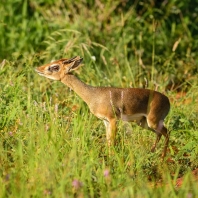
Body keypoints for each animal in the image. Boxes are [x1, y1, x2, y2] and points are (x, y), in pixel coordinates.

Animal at [35, 56, 170, 158]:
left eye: (54, 67)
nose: (38, 69)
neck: (93, 95)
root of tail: (168, 101)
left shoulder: (113, 119)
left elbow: (112, 141)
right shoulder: (105, 121)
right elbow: (108, 140)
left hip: (152, 121)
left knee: (167, 132)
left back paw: (162, 158)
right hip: (143, 123)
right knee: (160, 134)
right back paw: (152, 153)